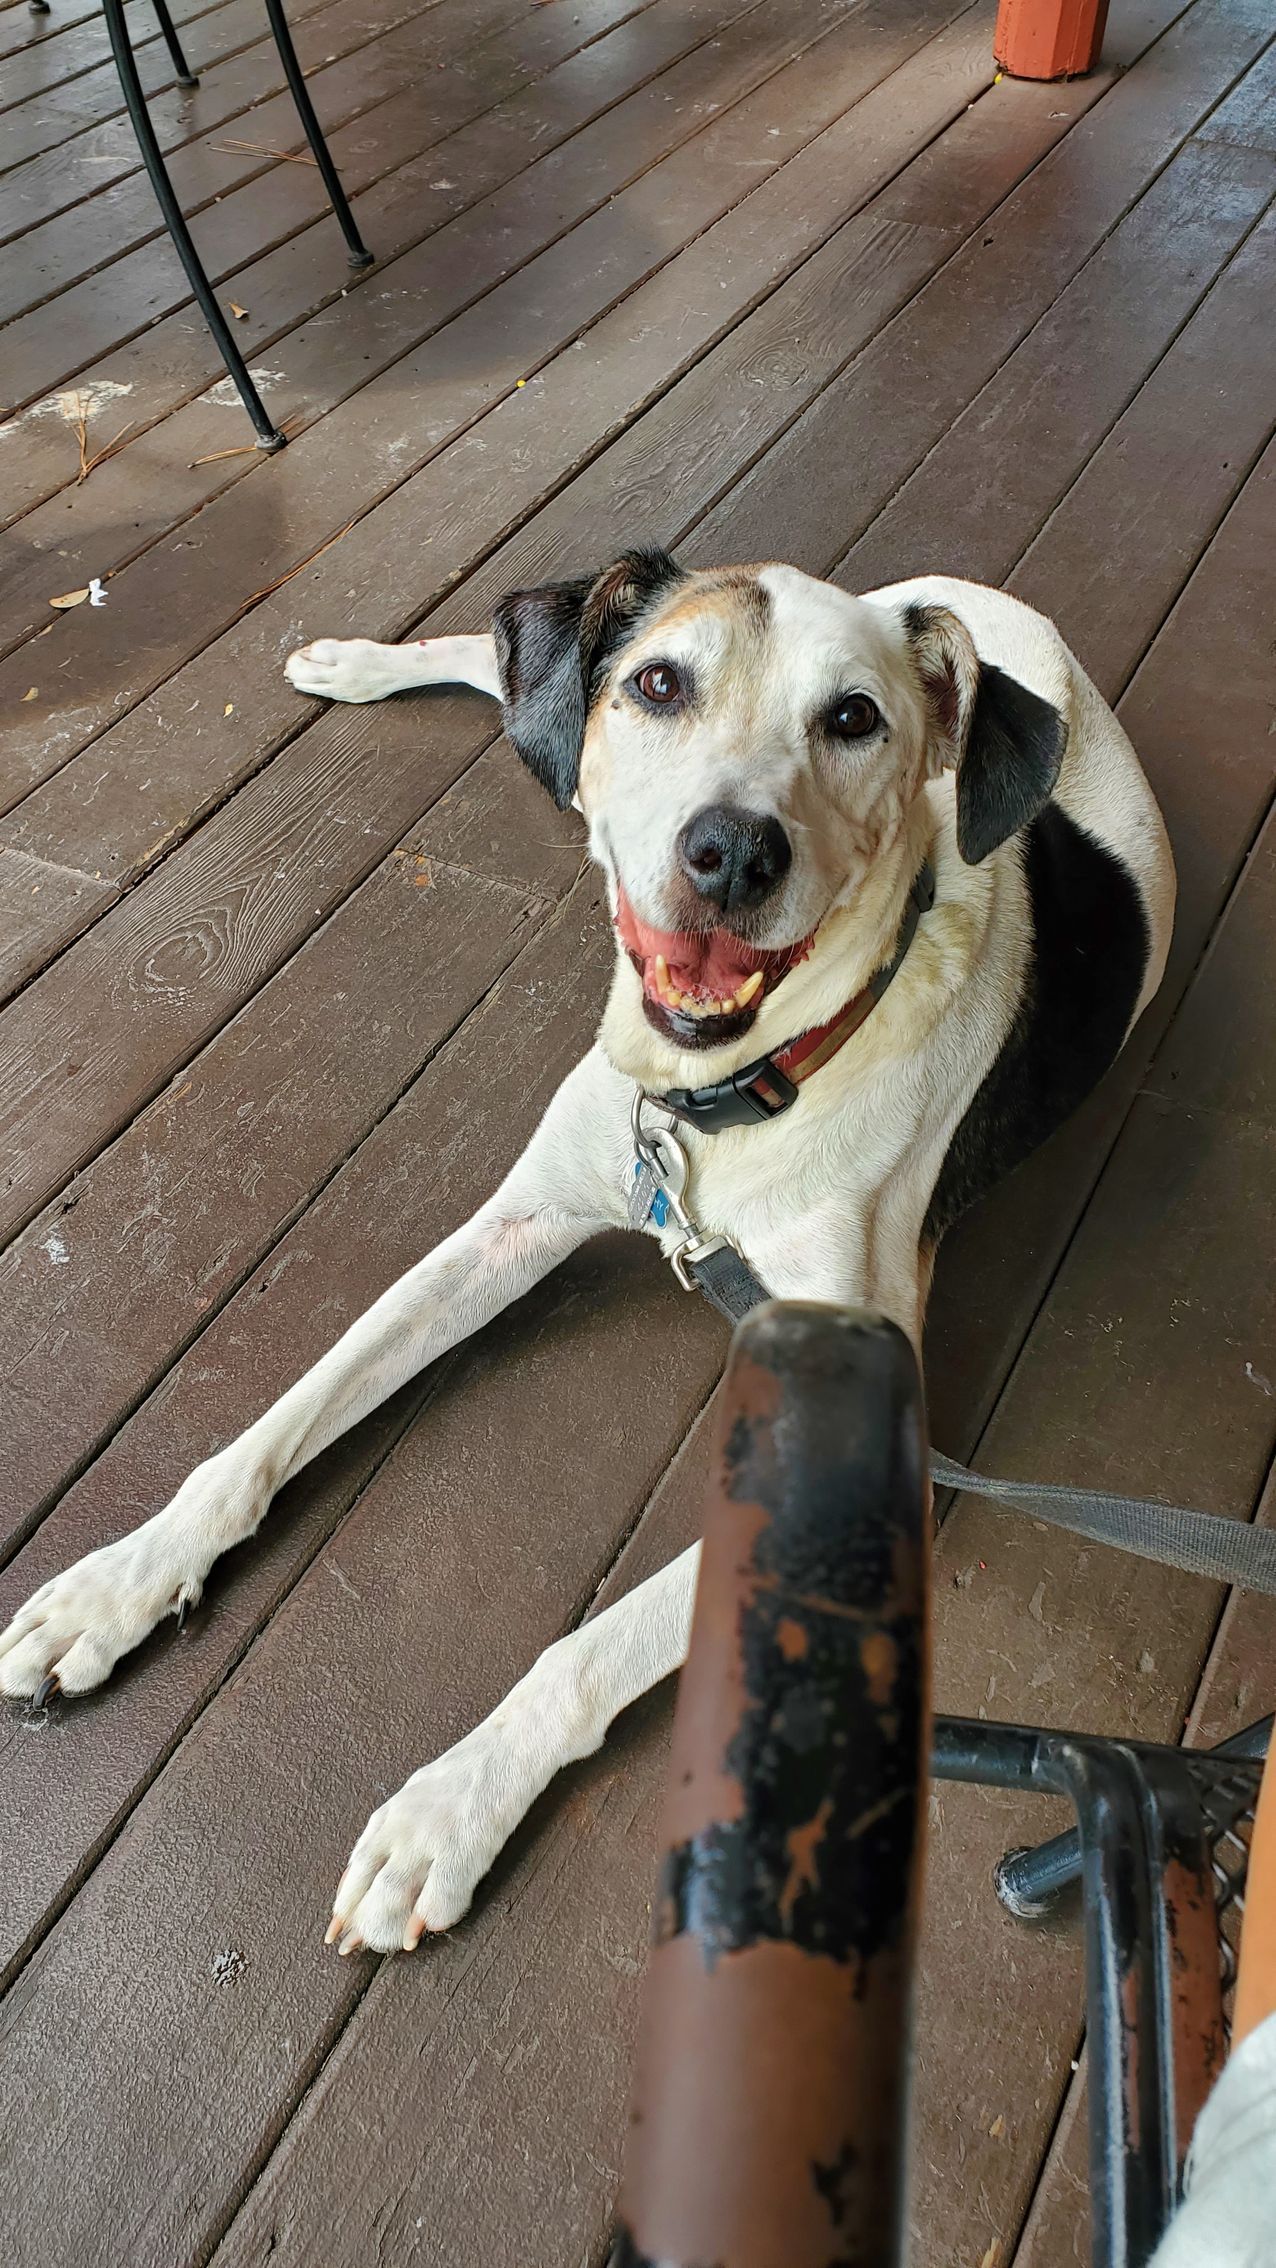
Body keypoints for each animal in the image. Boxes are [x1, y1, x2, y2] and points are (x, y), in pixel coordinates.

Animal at [0, 552, 1174, 1955]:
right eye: (659, 685)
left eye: (853, 719)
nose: (729, 853)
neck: (716, 1104)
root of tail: (977, 599)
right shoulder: (507, 1228)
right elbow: (270, 1432)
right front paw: (117, 1583)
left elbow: (579, 1656)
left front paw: (449, 1810)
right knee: (520, 691)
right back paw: (365, 661)